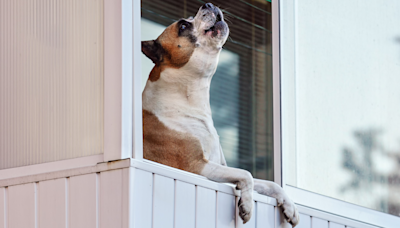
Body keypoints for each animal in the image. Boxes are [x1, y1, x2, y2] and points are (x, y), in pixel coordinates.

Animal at [142, 3, 298, 226]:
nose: (208, 4)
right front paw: (247, 205)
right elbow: (247, 174)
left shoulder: (219, 166)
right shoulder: (197, 167)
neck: (189, 99)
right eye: (183, 26)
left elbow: (270, 183)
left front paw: (290, 207)